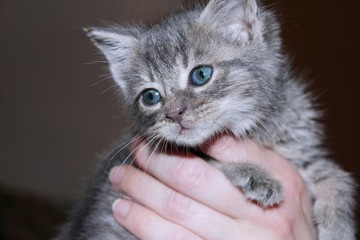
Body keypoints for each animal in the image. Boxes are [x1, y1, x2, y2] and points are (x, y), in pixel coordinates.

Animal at [54, 0, 356, 239]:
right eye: (150, 96)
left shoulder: (299, 145)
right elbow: (208, 159)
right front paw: (256, 176)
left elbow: (335, 176)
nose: (175, 114)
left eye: (200, 75)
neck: (258, 130)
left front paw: (339, 228)